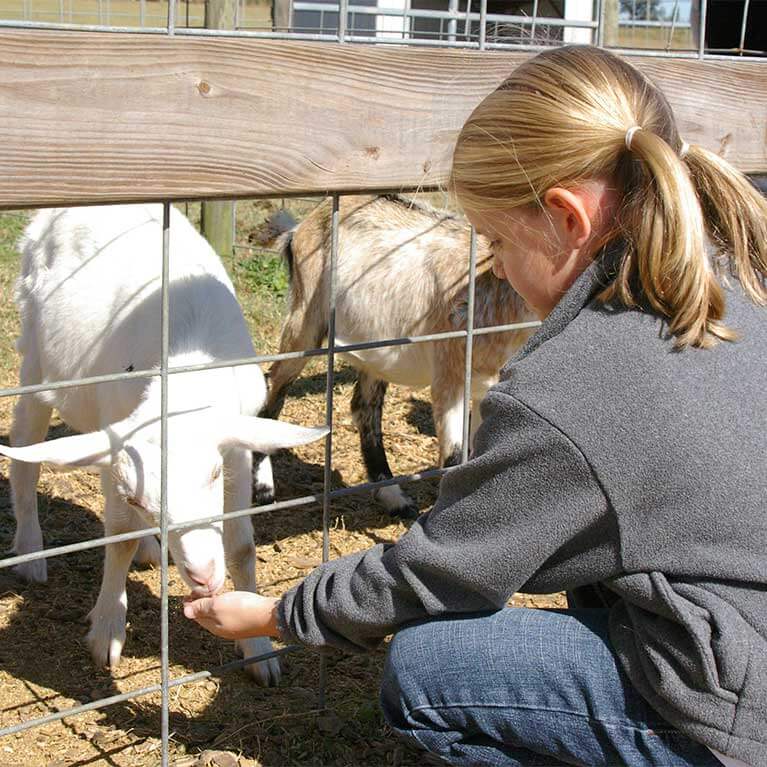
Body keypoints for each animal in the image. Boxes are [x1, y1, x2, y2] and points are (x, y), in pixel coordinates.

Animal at [0, 204, 328, 684]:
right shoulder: (117, 451)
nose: (204, 576)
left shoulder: (236, 448)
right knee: (25, 451)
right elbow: (118, 537)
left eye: (213, 474)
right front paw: (107, 630)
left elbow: (242, 548)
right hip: (35, 363)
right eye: (139, 499)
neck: (185, 362)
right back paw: (30, 552)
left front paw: (259, 651)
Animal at [262, 195, 536, 520]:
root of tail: (299, 228)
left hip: (376, 349)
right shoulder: (450, 370)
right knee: (274, 383)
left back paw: (394, 497)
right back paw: (263, 491)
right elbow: (455, 455)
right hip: (304, 319)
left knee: (364, 407)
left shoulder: (489, 387)